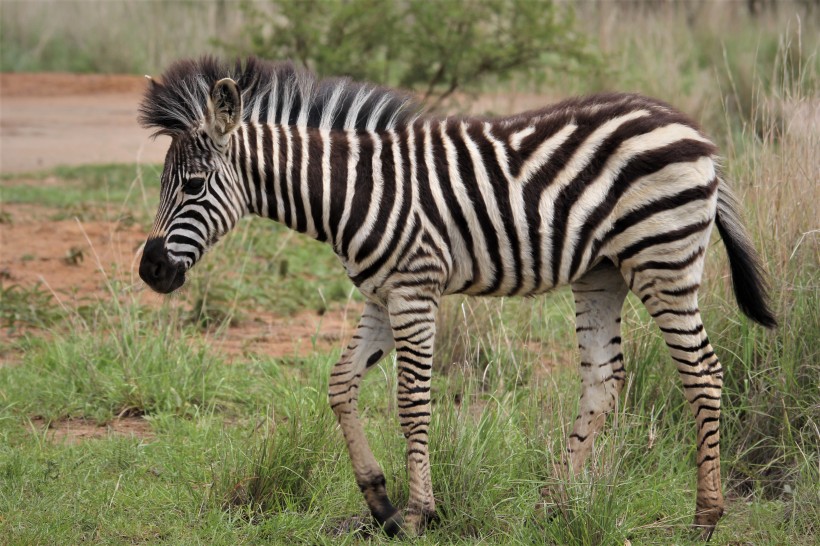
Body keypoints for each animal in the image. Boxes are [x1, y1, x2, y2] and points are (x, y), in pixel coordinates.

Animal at [138, 57, 772, 536]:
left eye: (193, 185)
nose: (150, 270)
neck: (351, 192)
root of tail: (694, 133)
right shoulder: (381, 296)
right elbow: (340, 384)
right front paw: (379, 502)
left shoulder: (415, 289)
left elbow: (412, 400)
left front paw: (420, 512)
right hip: (602, 271)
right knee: (603, 378)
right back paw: (553, 506)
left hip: (663, 260)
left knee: (703, 373)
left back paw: (704, 518)